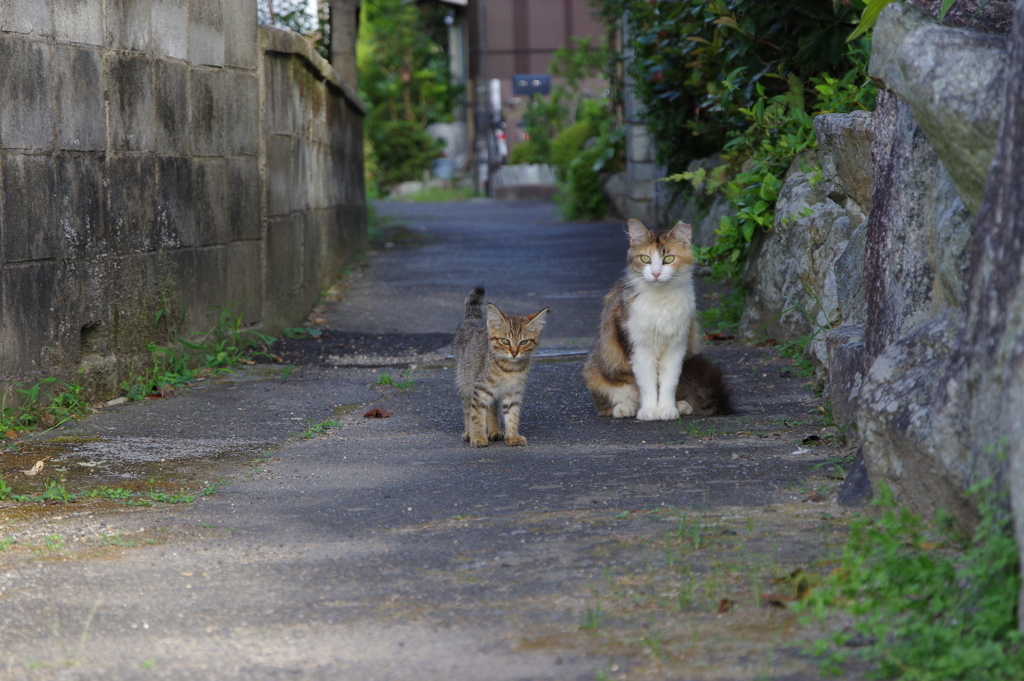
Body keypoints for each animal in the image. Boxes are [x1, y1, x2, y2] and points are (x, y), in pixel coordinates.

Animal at [458, 284, 552, 446]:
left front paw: (513, 436)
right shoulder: (479, 389)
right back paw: (468, 432)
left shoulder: (513, 391)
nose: (514, 352)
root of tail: (472, 320)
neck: (510, 369)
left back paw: (494, 431)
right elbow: (477, 415)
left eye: (523, 342)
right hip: (466, 380)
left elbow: (512, 414)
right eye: (505, 341)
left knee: (492, 408)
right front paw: (478, 437)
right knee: (468, 407)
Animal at [581, 220, 733, 417]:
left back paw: (682, 406)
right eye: (645, 259)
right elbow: (648, 385)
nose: (655, 274)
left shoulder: (677, 346)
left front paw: (667, 409)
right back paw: (626, 408)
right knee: (612, 402)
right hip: (596, 370)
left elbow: (668, 384)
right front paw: (649, 411)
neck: (661, 300)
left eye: (668, 259)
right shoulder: (639, 348)